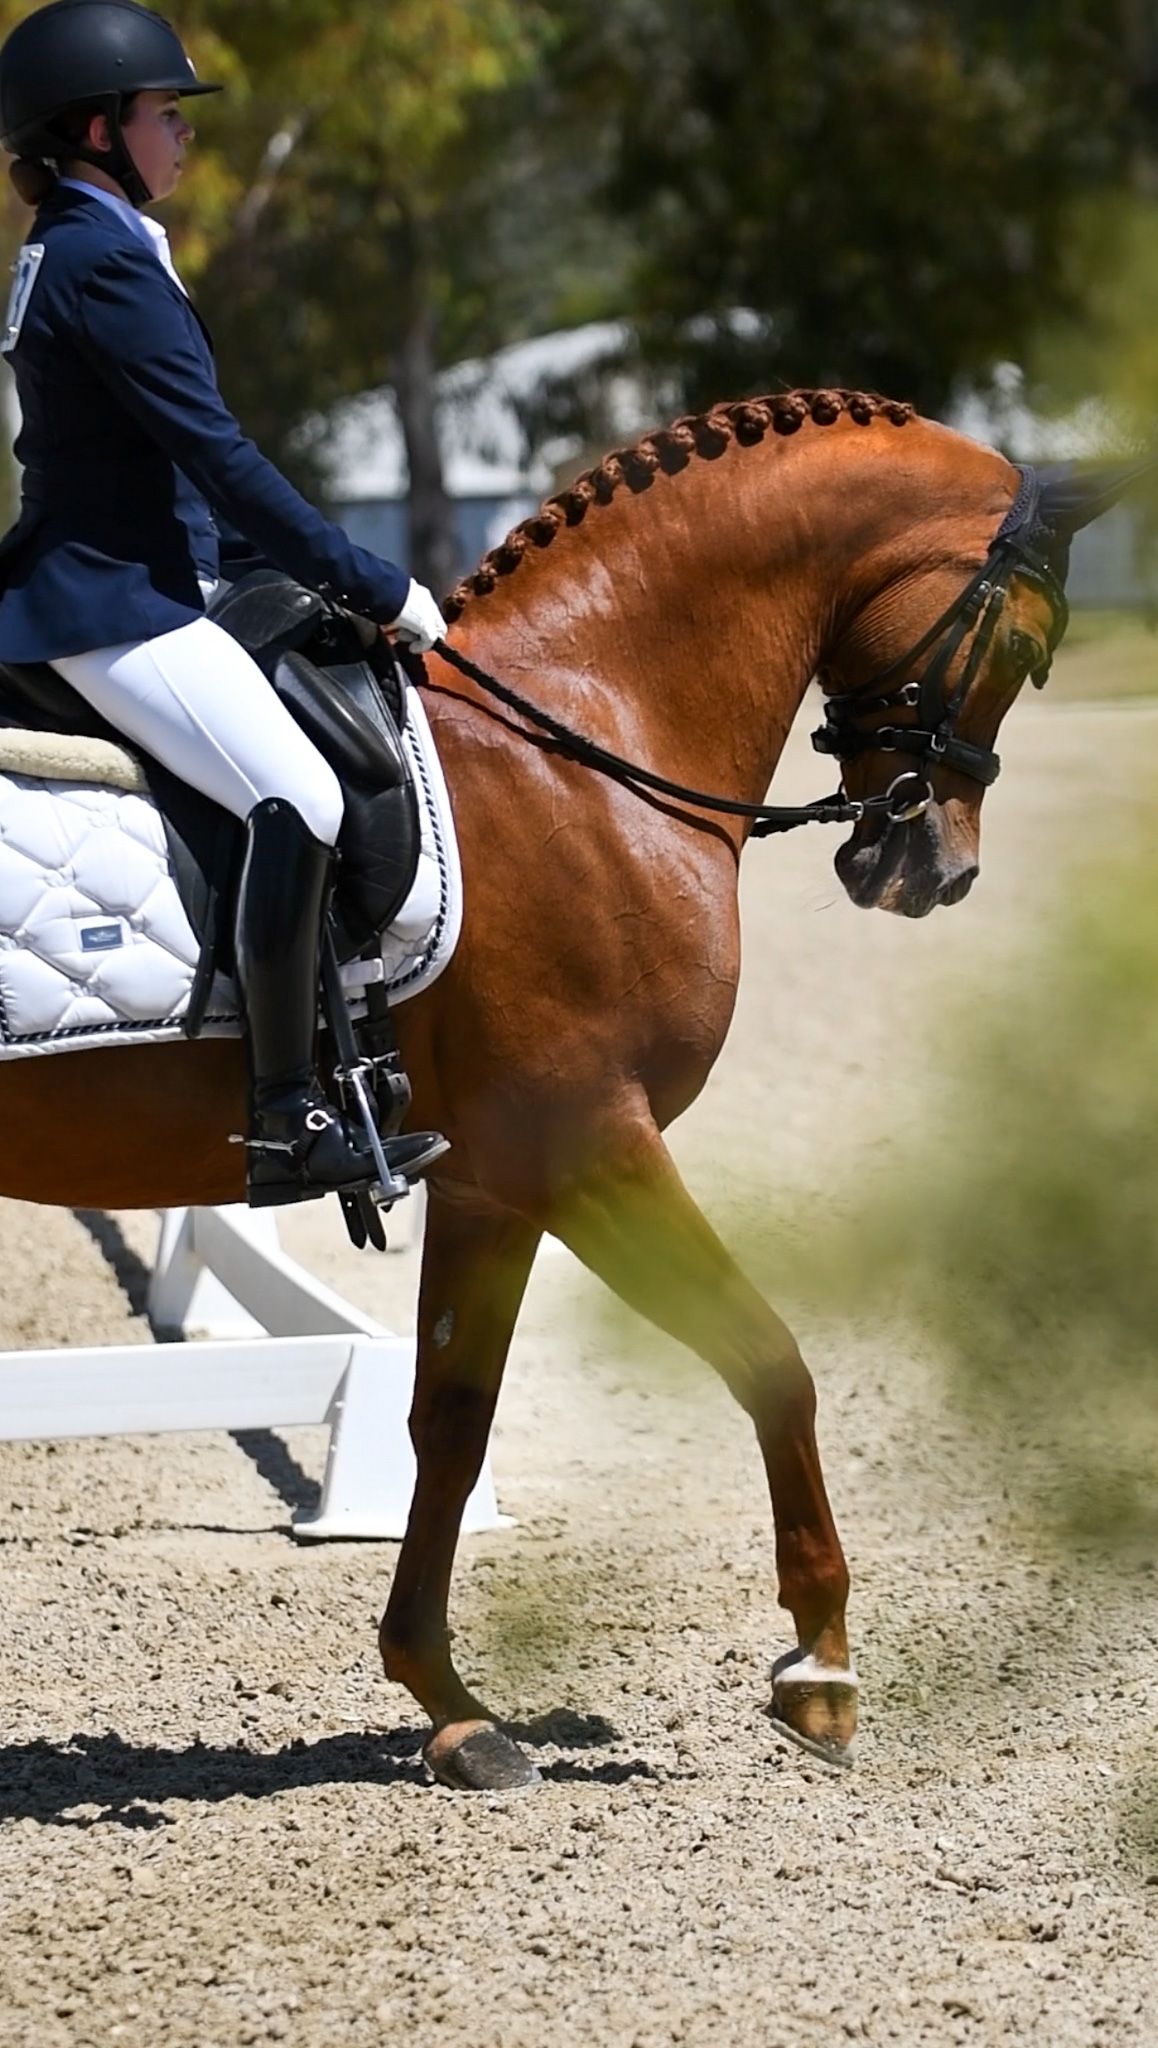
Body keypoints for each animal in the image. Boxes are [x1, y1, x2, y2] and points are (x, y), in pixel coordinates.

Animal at [0, 386, 1125, 1788]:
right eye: (1027, 641)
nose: (936, 870)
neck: (581, 740)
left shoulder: (491, 1178)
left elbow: (452, 1417)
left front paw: (449, 1701)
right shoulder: (590, 1143)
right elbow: (770, 1357)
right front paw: (819, 1666)